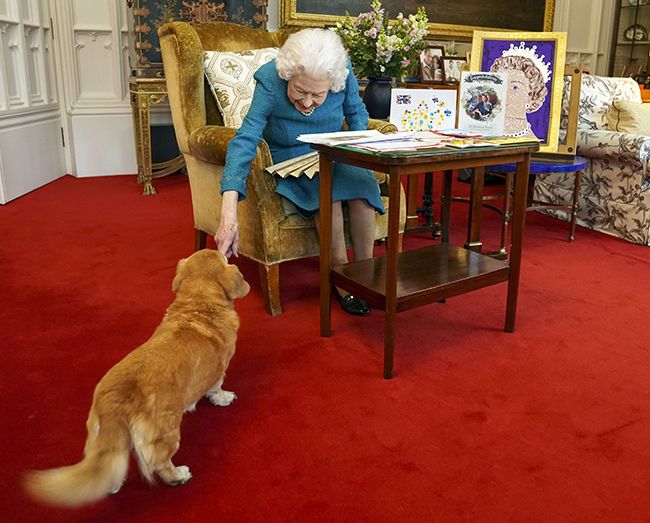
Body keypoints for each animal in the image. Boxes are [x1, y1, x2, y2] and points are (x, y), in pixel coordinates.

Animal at [24, 250, 249, 508]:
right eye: (223, 258)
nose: (225, 249)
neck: (197, 306)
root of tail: (116, 401)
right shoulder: (219, 369)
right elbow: (217, 387)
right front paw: (224, 398)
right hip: (167, 434)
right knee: (161, 464)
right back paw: (179, 475)